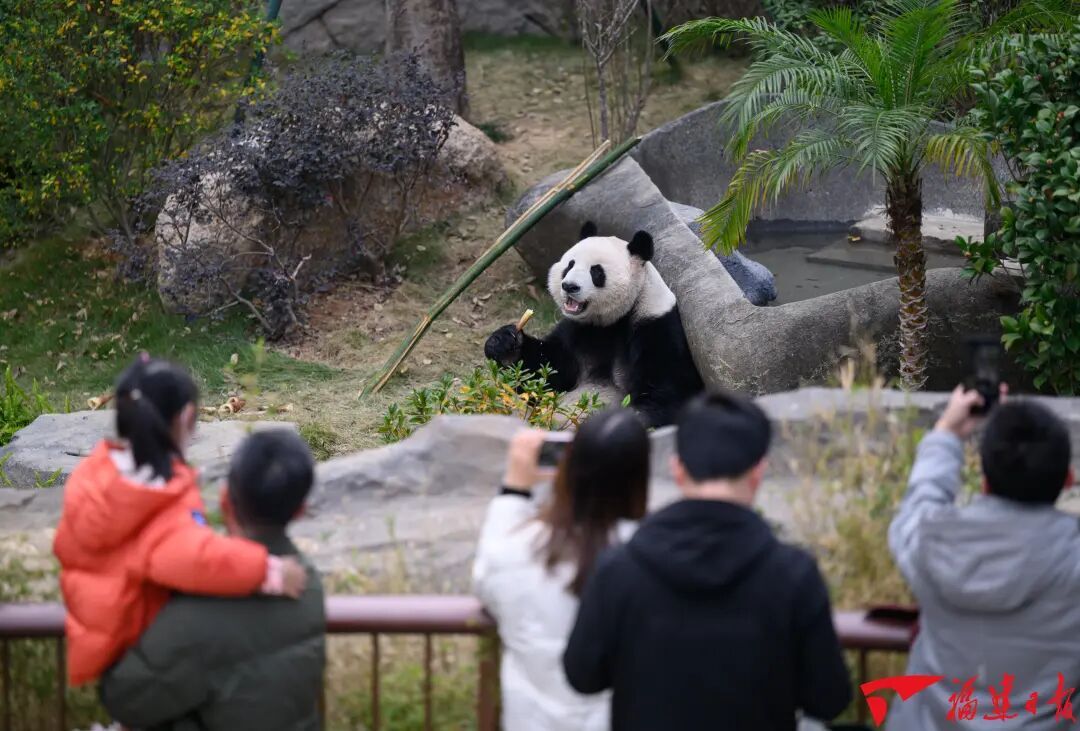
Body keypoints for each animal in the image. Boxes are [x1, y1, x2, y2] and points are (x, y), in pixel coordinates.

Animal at [484, 222, 704, 428]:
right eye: (570, 265)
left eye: (596, 272)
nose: (569, 286)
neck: (610, 322)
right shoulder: (576, 330)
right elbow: (547, 372)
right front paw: (503, 343)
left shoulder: (656, 327)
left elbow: (665, 392)